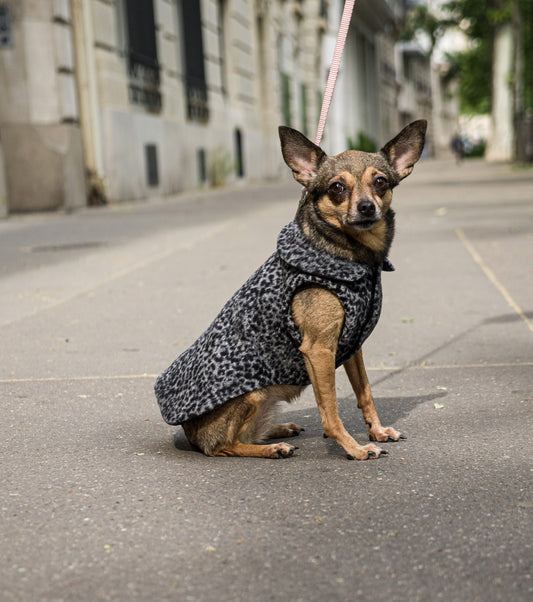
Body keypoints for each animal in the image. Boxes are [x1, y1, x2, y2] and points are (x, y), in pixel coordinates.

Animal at [153, 120, 424, 460]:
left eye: (380, 182)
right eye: (336, 187)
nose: (366, 207)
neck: (354, 257)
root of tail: (189, 435)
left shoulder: (352, 347)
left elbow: (365, 393)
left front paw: (377, 431)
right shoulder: (319, 350)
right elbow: (330, 409)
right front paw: (354, 447)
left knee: (248, 434)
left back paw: (279, 430)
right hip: (253, 396)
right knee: (224, 445)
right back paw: (273, 449)